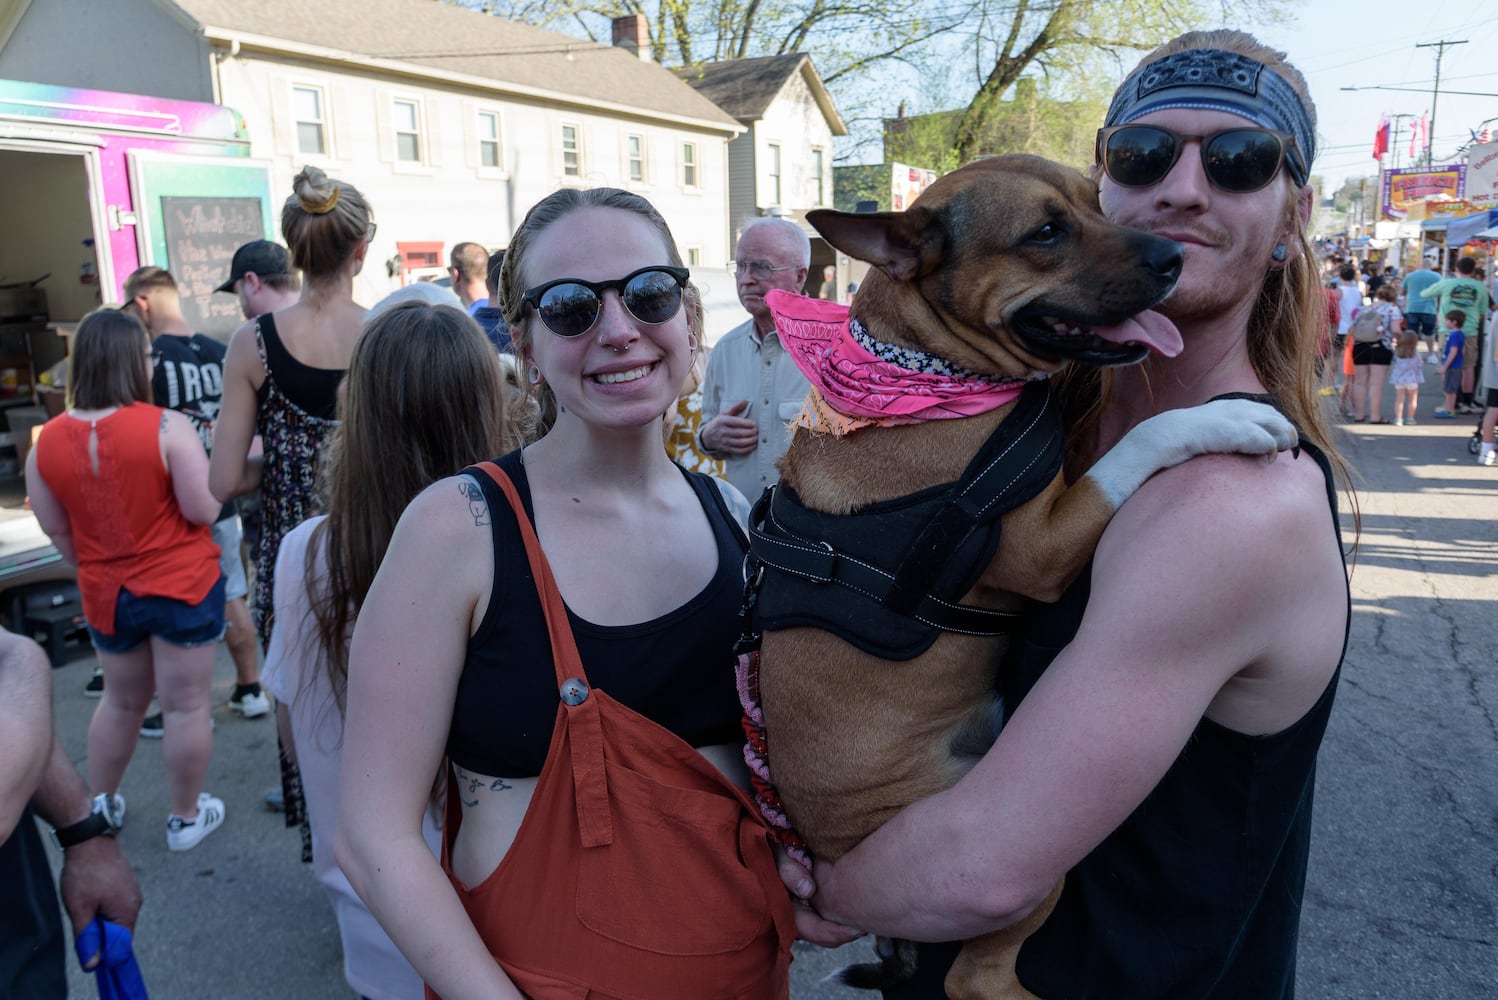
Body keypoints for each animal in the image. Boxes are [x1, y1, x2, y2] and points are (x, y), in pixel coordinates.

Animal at [754, 152, 1294, 994]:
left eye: (1099, 201)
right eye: (1044, 233)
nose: (1172, 257)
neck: (929, 365)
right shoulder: (1044, 545)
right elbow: (1136, 444)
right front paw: (1224, 417)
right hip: (1023, 875)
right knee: (973, 979)